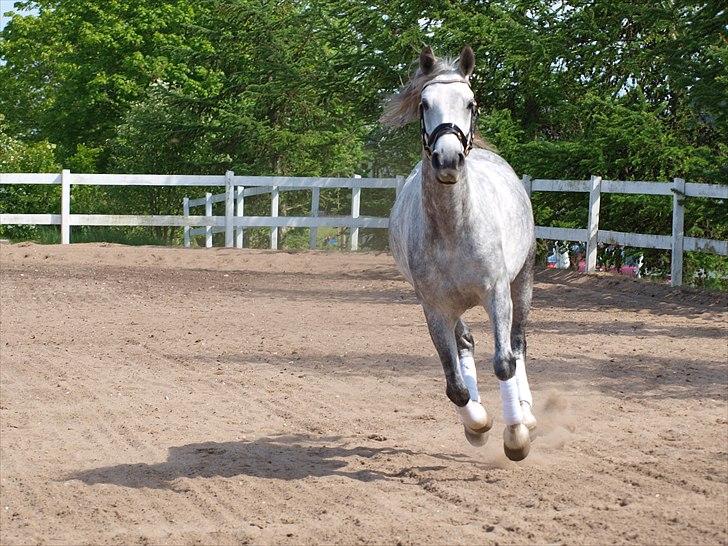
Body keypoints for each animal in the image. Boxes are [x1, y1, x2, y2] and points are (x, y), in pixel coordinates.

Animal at [386, 45, 536, 460]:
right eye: (424, 104)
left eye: (471, 103)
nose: (448, 158)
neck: (454, 229)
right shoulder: (435, 308)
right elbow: (455, 385)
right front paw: (478, 423)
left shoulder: (497, 294)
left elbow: (504, 363)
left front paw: (516, 436)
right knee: (465, 342)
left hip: (523, 282)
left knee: (518, 345)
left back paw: (527, 413)